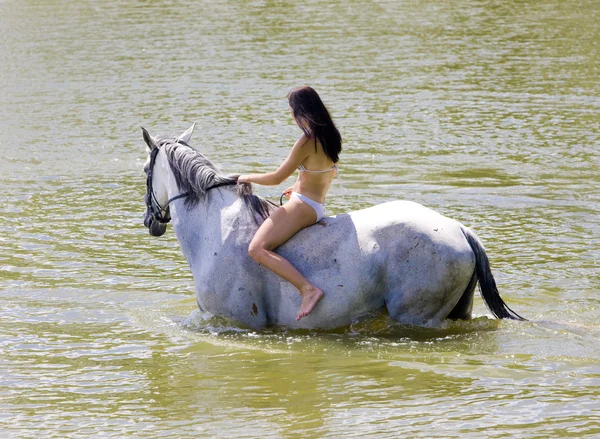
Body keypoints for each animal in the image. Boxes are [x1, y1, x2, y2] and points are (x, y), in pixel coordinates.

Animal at [141, 124, 524, 330]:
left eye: (145, 169)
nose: (150, 221)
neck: (215, 228)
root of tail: (458, 229)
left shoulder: (237, 322)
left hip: (419, 317)